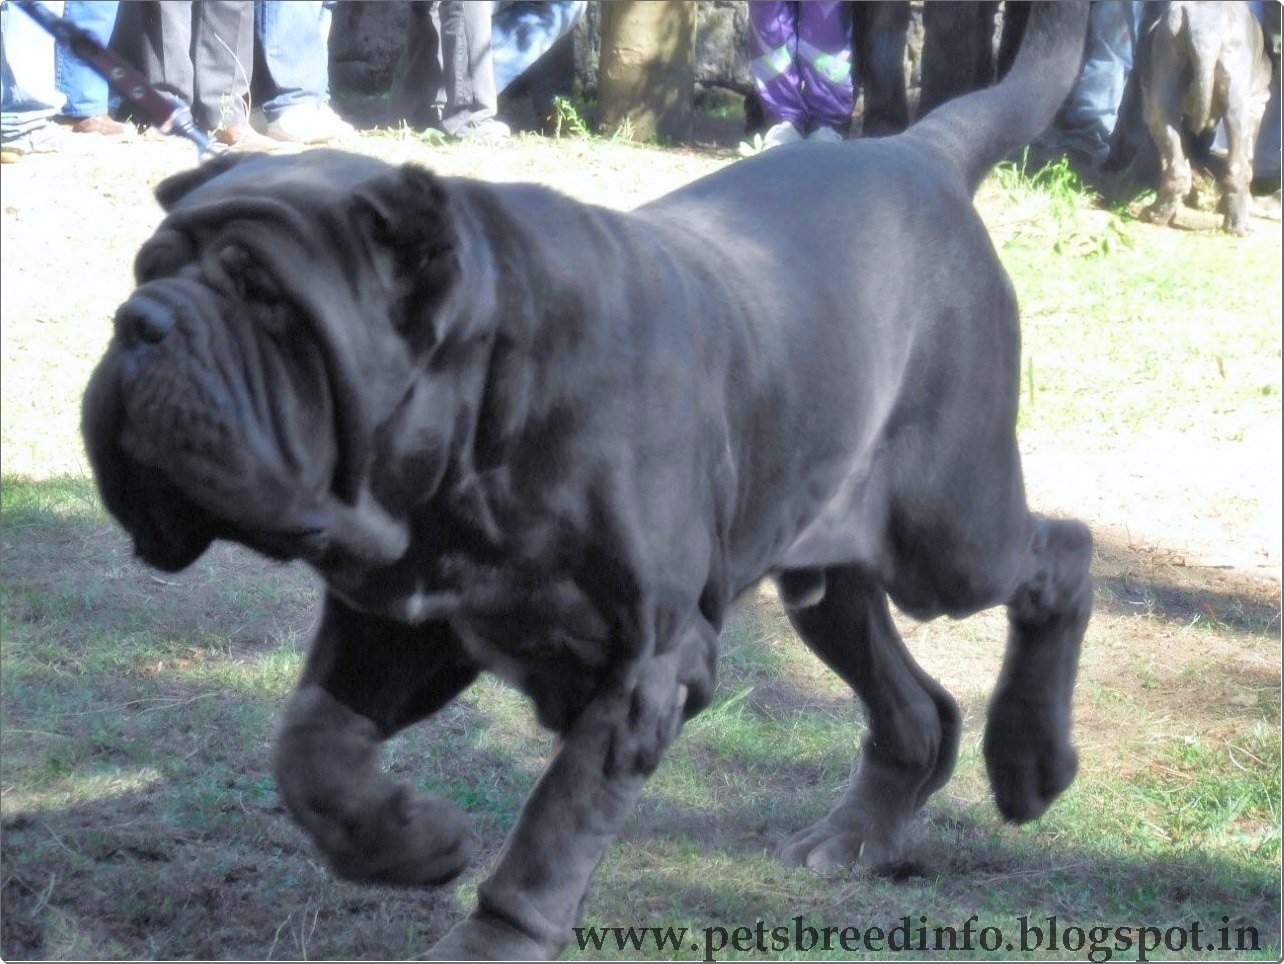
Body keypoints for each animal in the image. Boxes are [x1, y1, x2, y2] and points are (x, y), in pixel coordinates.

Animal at [80, 1, 1088, 960]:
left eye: (268, 299)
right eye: (147, 269)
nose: (142, 321)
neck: (472, 444)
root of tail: (919, 150)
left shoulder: (645, 665)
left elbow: (552, 827)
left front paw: (489, 942)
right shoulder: (393, 624)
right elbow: (311, 750)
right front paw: (411, 839)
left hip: (945, 538)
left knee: (1060, 555)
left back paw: (1030, 764)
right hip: (827, 562)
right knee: (915, 705)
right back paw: (856, 835)